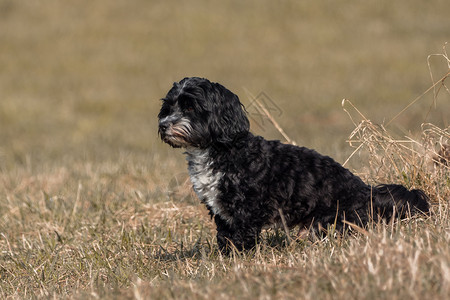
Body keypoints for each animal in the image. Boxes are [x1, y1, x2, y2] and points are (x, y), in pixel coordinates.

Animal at [158, 76, 428, 252]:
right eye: (168, 107)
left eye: (190, 107)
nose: (164, 124)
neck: (221, 150)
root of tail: (366, 192)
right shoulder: (220, 210)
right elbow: (225, 235)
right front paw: (225, 255)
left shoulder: (248, 208)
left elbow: (243, 235)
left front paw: (241, 256)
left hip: (330, 220)